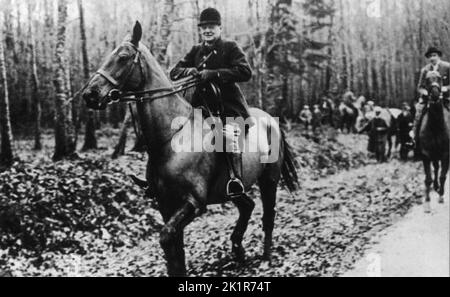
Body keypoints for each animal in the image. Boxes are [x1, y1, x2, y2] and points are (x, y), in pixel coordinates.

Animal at [81, 21, 298, 276]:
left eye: (123, 57)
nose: (89, 94)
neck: (172, 137)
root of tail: (271, 119)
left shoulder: (193, 203)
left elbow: (167, 238)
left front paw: (203, 73)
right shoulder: (166, 204)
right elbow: (175, 251)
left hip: (269, 179)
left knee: (268, 215)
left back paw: (265, 257)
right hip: (233, 190)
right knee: (247, 206)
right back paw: (238, 250)